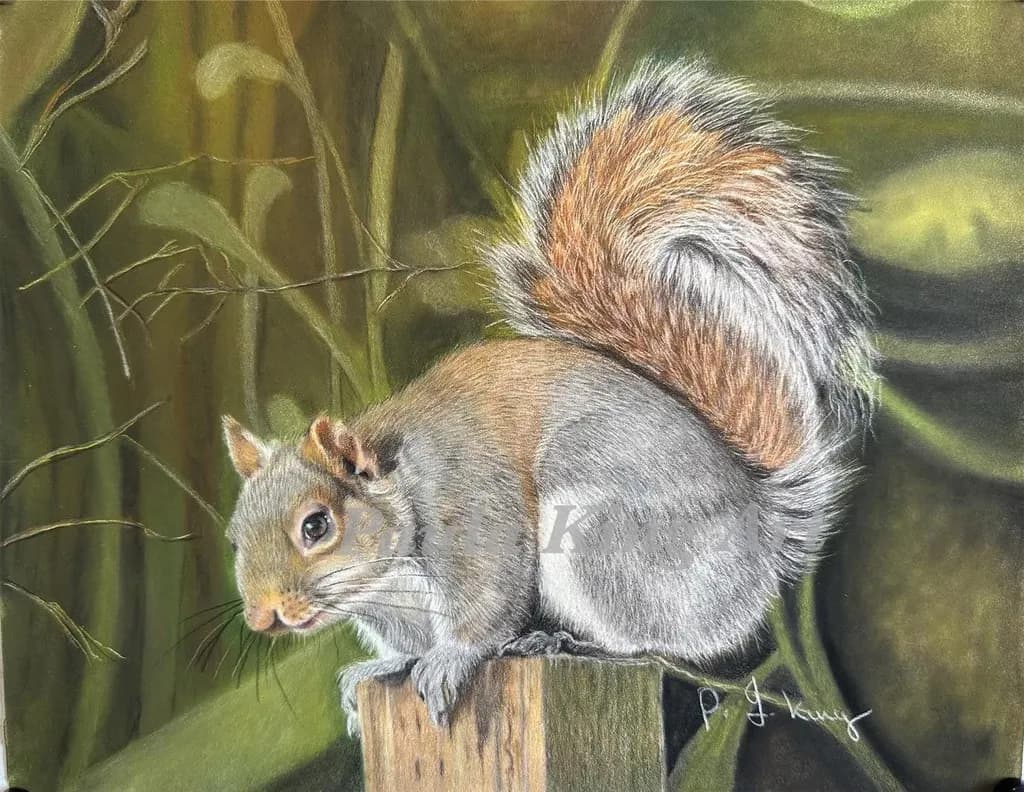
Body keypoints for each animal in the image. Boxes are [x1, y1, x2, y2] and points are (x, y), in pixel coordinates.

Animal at [222, 59, 875, 735]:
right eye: (234, 538)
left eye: (316, 525)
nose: (263, 615)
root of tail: (760, 539)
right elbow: (404, 647)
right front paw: (375, 672)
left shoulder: (475, 520)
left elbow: (486, 604)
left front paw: (450, 660)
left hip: (606, 547)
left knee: (656, 642)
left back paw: (564, 641)